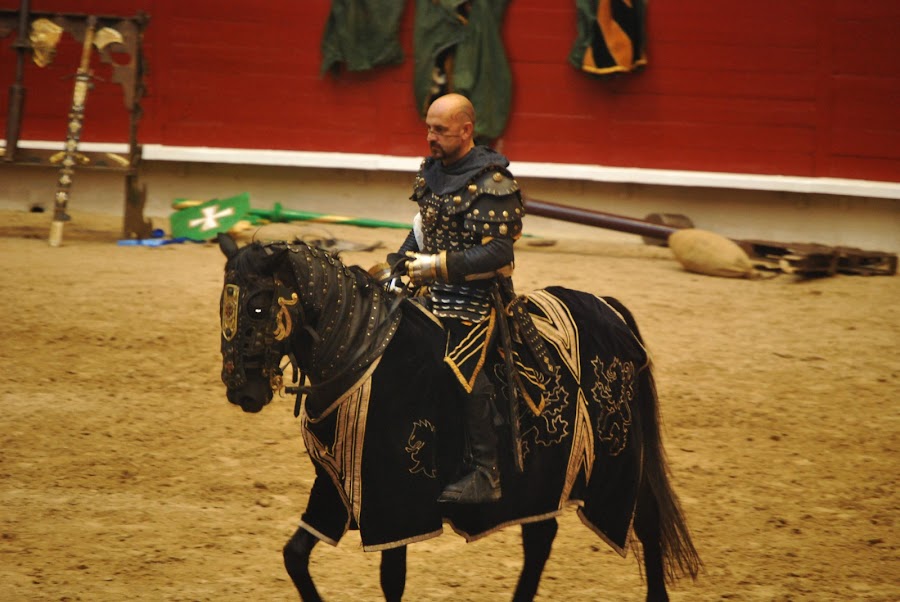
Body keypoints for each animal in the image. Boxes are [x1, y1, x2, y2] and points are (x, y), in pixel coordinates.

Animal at [220, 236, 704, 600]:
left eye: (259, 307)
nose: (242, 391)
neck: (363, 350)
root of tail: (608, 307)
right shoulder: (333, 486)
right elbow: (295, 555)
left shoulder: (398, 504)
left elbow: (391, 580)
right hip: (546, 478)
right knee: (540, 538)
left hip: (620, 463)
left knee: (646, 521)